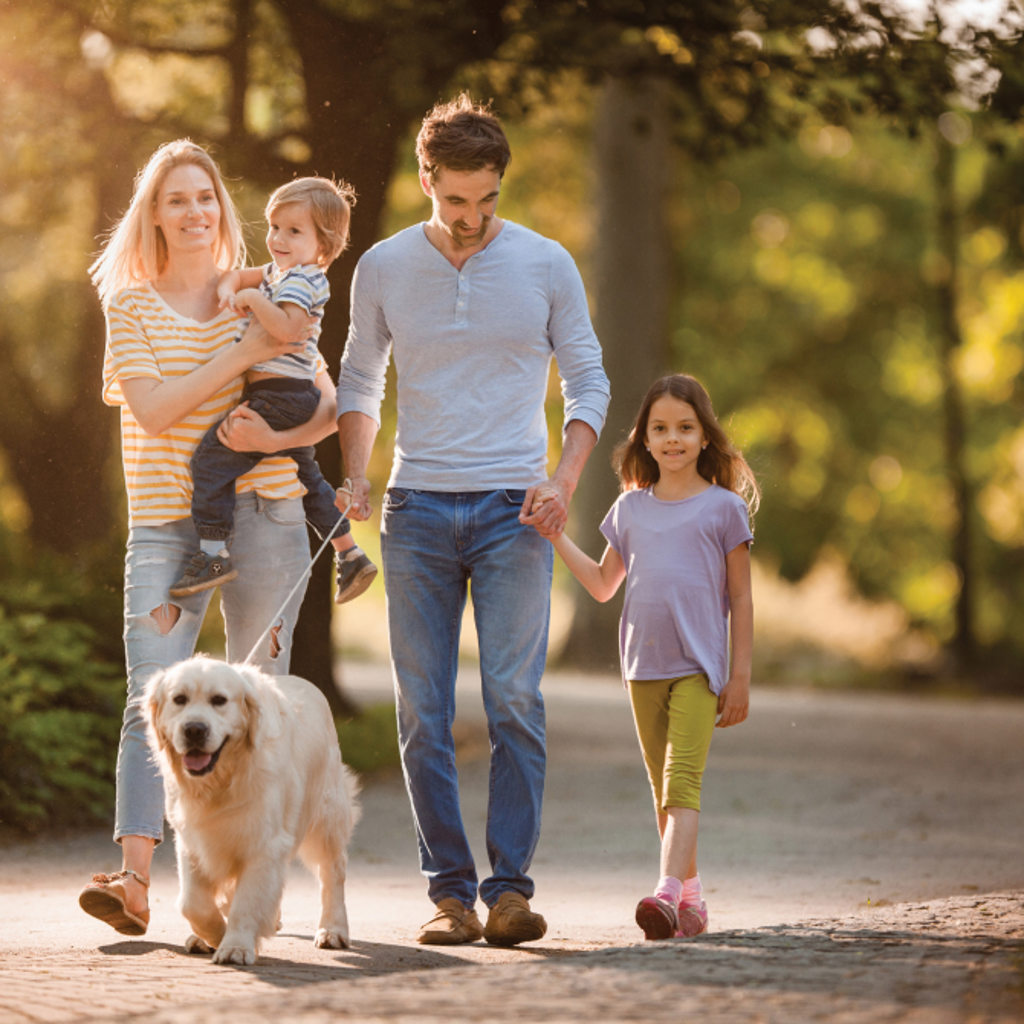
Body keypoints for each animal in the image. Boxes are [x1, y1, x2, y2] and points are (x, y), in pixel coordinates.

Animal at [144, 655, 360, 966]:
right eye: (179, 699)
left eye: (219, 700)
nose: (194, 729)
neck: (221, 783)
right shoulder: (193, 842)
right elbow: (192, 903)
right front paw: (214, 934)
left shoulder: (264, 844)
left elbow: (245, 902)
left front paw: (234, 945)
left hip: (326, 818)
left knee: (332, 873)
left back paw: (333, 929)